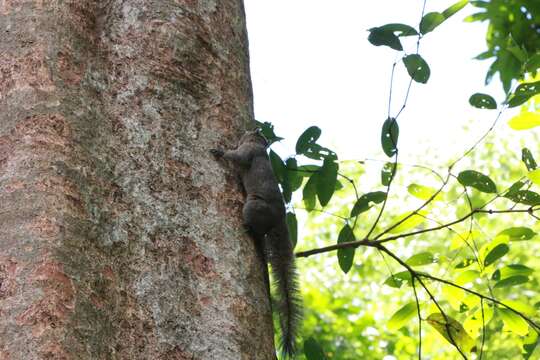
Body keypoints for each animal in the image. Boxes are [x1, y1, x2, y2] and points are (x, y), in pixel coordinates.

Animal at [211, 131, 304, 358]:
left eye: (252, 133)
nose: (245, 132)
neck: (260, 147)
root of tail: (279, 219)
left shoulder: (248, 152)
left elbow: (238, 158)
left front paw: (220, 151)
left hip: (253, 205)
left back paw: (249, 229)